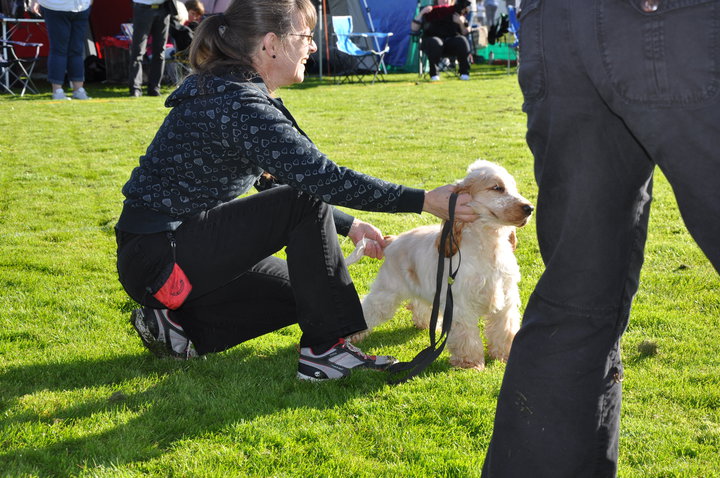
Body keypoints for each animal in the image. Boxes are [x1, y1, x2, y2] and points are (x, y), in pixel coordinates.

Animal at [348, 161, 536, 370]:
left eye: (513, 188)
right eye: (497, 188)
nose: (529, 208)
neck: (489, 245)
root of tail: (392, 241)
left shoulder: (506, 298)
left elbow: (505, 330)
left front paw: (504, 355)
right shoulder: (460, 303)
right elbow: (467, 337)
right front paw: (470, 364)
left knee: (421, 306)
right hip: (387, 293)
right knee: (369, 308)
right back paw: (353, 336)